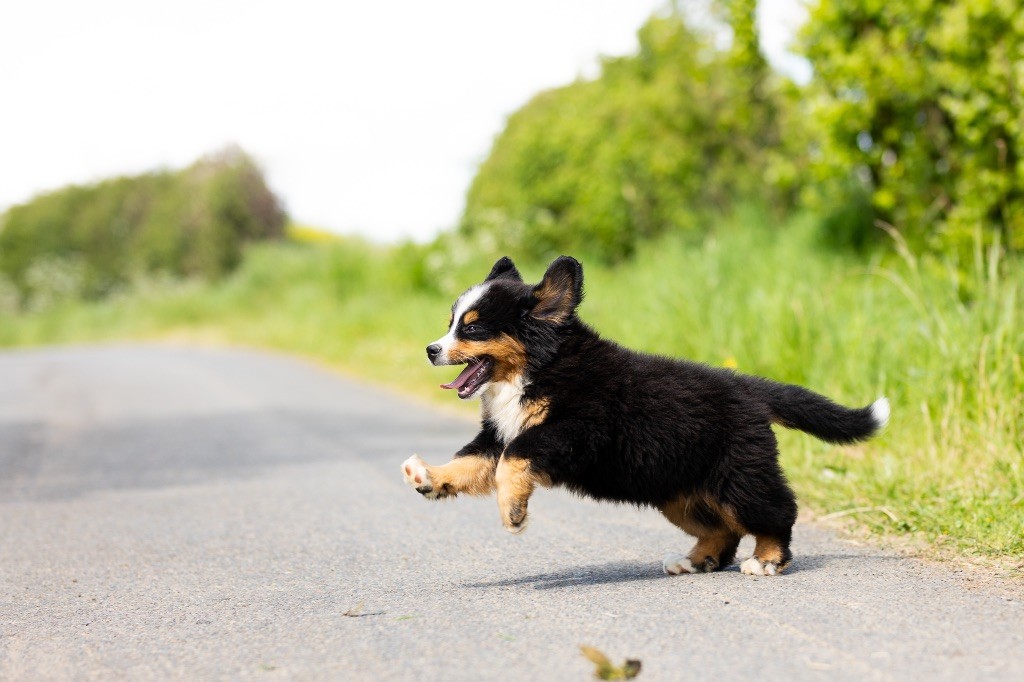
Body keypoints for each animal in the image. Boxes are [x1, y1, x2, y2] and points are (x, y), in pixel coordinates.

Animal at [399, 254, 888, 573]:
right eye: (450, 323)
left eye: (474, 327)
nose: (430, 350)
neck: (541, 368)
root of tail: (747, 385)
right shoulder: (497, 435)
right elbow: (471, 463)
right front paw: (428, 476)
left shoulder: (573, 430)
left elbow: (513, 461)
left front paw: (513, 513)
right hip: (678, 490)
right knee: (723, 528)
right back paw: (698, 561)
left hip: (740, 474)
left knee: (778, 511)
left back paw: (767, 560)